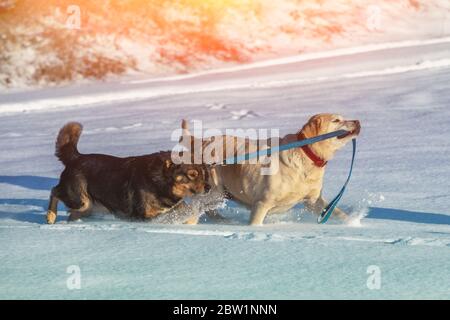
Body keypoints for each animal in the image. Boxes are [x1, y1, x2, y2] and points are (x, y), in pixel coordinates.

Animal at [46, 122, 208, 225]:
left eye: (203, 172)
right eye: (192, 174)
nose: (209, 188)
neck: (159, 180)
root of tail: (76, 158)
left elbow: (184, 210)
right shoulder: (144, 214)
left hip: (87, 207)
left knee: (71, 212)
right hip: (80, 199)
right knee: (54, 191)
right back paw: (50, 216)